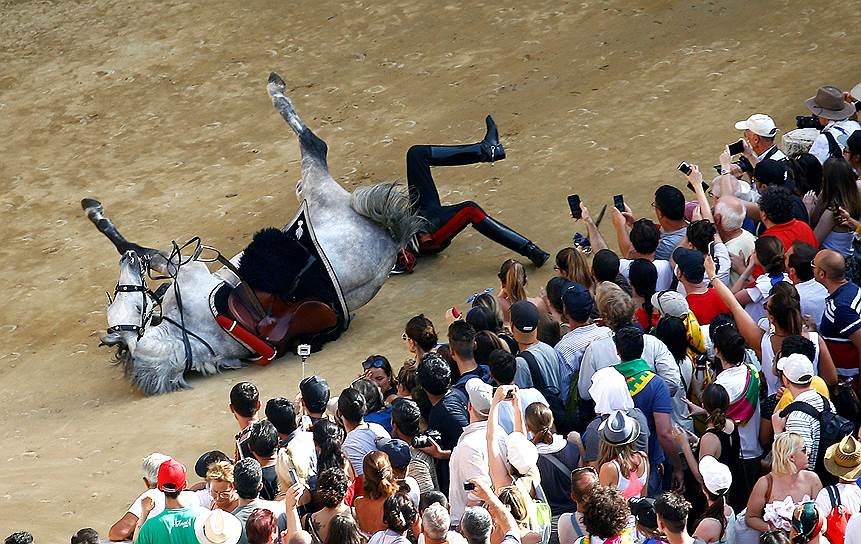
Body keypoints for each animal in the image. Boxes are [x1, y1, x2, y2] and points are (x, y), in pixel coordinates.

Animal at [84, 73, 424, 396]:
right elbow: (147, 252)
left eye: (136, 306)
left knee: (313, 143)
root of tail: (391, 236)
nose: (128, 264)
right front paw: (108, 226)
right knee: (314, 145)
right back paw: (275, 87)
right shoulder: (186, 269)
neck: (186, 338)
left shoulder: (184, 269)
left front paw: (113, 232)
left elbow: (141, 249)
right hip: (315, 190)